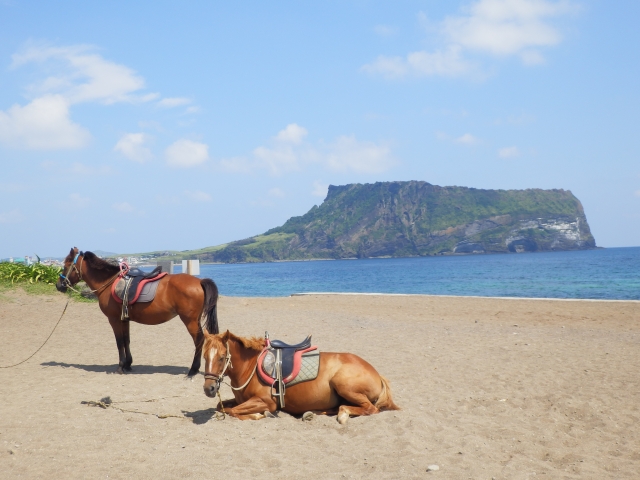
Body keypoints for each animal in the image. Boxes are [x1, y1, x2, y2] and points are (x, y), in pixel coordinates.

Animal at [56, 248, 219, 376]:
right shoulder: (124, 319)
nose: (59, 285)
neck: (108, 282)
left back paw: (193, 370)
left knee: (199, 340)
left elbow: (119, 342)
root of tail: (199, 281)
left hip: (189, 321)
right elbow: (126, 340)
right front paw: (128, 364)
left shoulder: (114, 319)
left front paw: (121, 366)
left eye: (66, 265)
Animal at [202, 328, 398, 422]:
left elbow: (232, 411)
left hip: (344, 385)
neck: (250, 367)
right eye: (204, 357)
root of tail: (377, 374)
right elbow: (222, 407)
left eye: (221, 357)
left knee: (369, 408)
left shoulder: (266, 402)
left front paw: (259, 415)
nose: (208, 388)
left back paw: (342, 415)